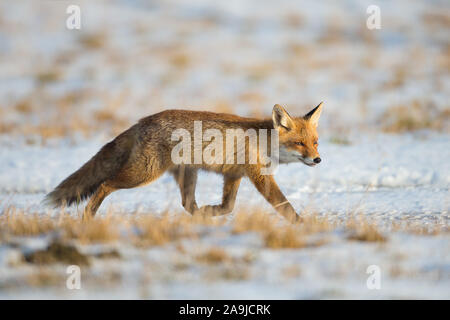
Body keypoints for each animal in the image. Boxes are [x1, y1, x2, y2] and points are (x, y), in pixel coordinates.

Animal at [44, 103, 322, 222]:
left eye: (315, 142)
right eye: (299, 143)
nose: (318, 159)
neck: (264, 141)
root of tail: (142, 121)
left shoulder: (233, 175)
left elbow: (228, 206)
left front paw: (213, 211)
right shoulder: (259, 177)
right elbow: (284, 205)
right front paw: (303, 226)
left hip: (187, 175)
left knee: (187, 205)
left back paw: (200, 217)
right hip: (142, 174)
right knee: (104, 185)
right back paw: (88, 216)